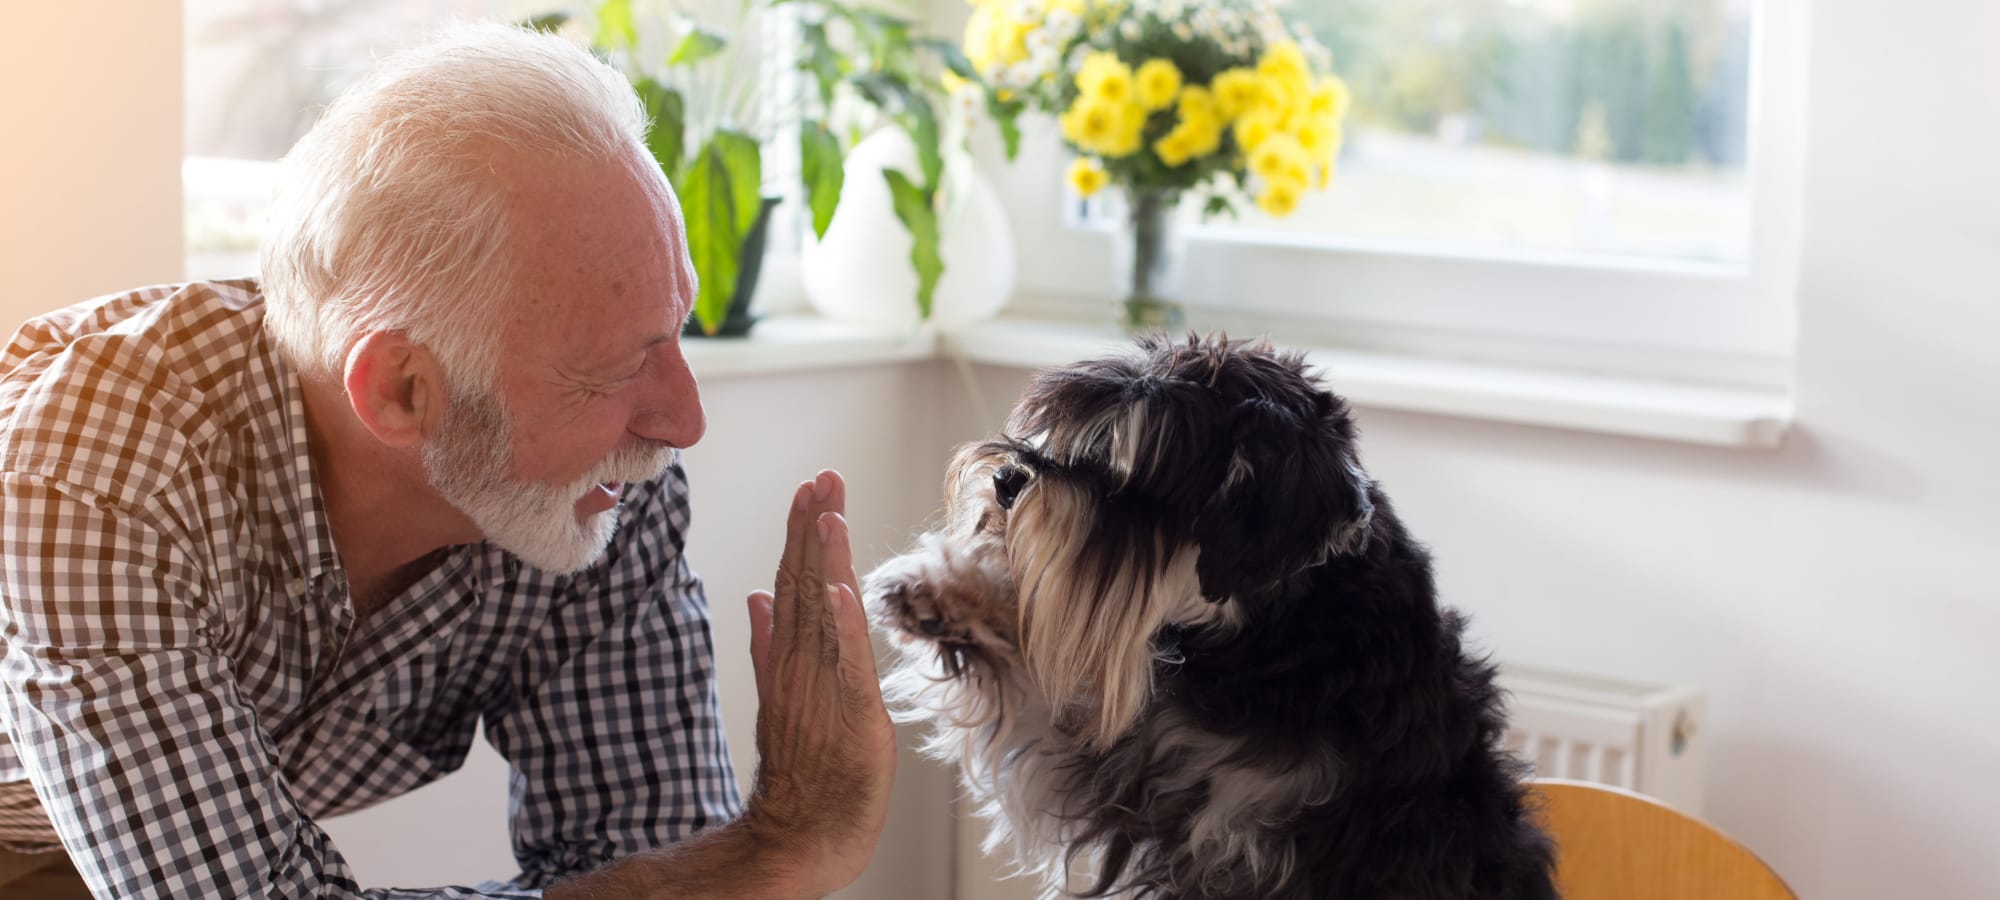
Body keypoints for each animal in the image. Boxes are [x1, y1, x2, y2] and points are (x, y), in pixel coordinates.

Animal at [868, 334, 1552, 896]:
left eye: (1138, 473)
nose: (1007, 479)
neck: (1273, 643)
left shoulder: (1234, 834)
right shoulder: (1140, 767)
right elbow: (1037, 697)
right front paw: (942, 591)